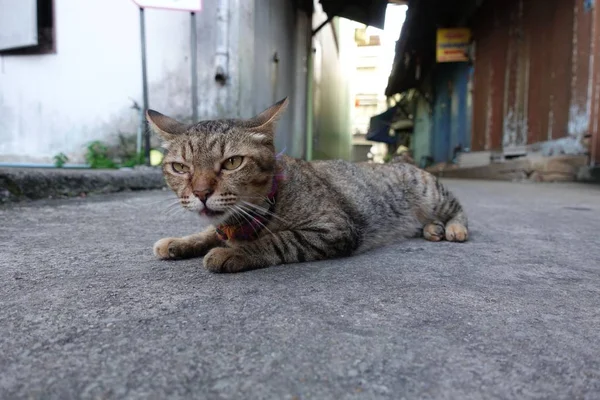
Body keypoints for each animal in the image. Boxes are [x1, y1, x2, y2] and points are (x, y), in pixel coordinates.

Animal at [146, 98, 468, 274]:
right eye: (180, 168)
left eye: (232, 163)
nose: (200, 193)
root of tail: (401, 159)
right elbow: (206, 233)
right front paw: (180, 242)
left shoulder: (334, 228)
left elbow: (278, 240)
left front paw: (234, 252)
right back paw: (432, 228)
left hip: (432, 195)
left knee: (459, 209)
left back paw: (452, 228)